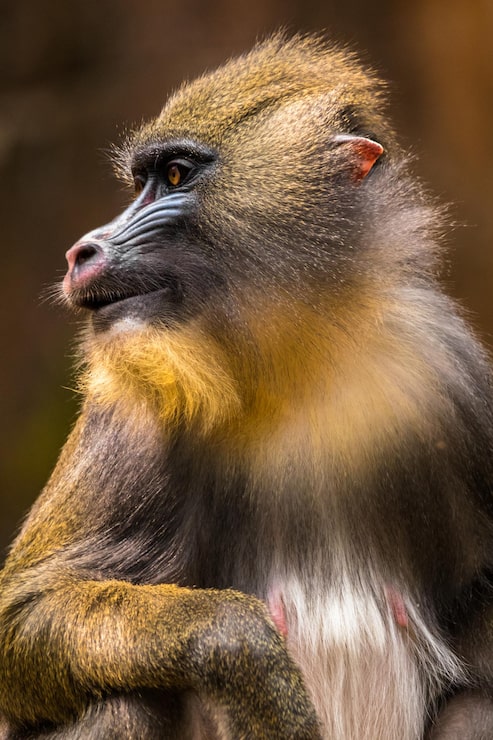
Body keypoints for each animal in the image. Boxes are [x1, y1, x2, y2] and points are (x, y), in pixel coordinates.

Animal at [1, 32, 493, 740]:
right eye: (141, 181)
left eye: (176, 175)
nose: (80, 252)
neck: (298, 363)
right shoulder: (128, 408)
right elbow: (28, 607)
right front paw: (247, 657)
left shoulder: (455, 376)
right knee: (122, 700)